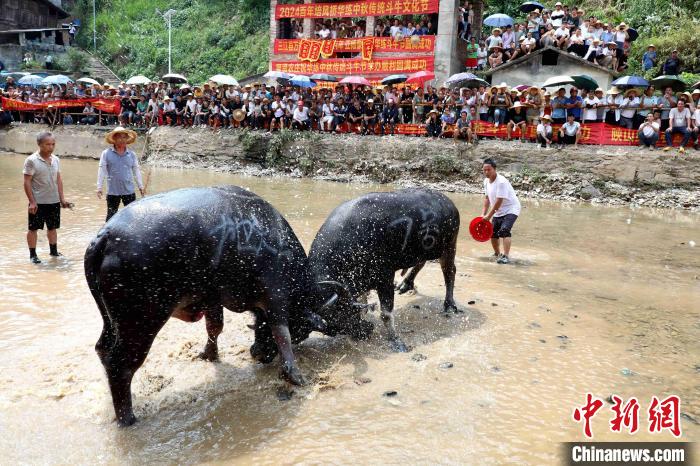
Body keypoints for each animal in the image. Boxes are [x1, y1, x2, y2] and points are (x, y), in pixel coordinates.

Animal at [85, 186, 330, 426]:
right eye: (301, 333)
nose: (259, 354)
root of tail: (106, 235)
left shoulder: (213, 299)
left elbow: (215, 327)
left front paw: (209, 354)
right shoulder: (276, 297)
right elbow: (282, 334)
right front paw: (295, 376)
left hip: (110, 320)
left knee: (102, 349)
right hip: (141, 323)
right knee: (121, 365)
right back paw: (127, 418)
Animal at [308, 187, 462, 352]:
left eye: (349, 311)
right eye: (333, 323)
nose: (366, 331)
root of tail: (449, 203)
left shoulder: (385, 277)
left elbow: (386, 314)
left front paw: (396, 341)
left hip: (449, 247)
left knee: (450, 271)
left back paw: (449, 305)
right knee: (420, 262)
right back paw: (405, 284)